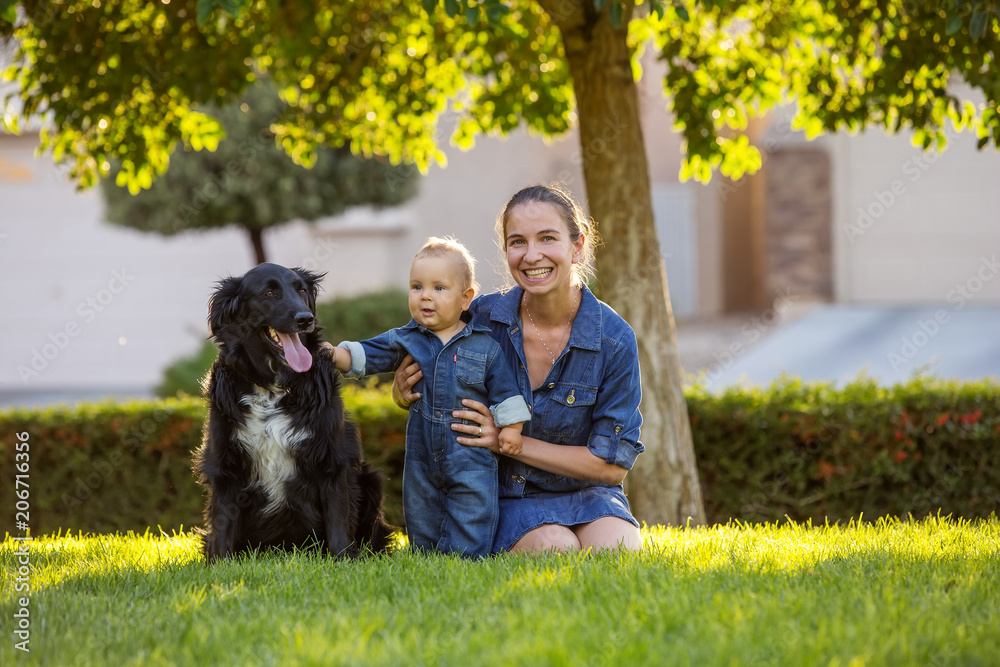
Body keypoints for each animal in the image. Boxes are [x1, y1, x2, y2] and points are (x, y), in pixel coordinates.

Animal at [193, 264, 392, 560]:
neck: (273, 388)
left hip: (372, 480)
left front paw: (343, 559)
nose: (305, 319)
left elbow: (338, 518)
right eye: (269, 292)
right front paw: (220, 562)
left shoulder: (333, 460)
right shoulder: (226, 463)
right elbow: (222, 521)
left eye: (302, 291)